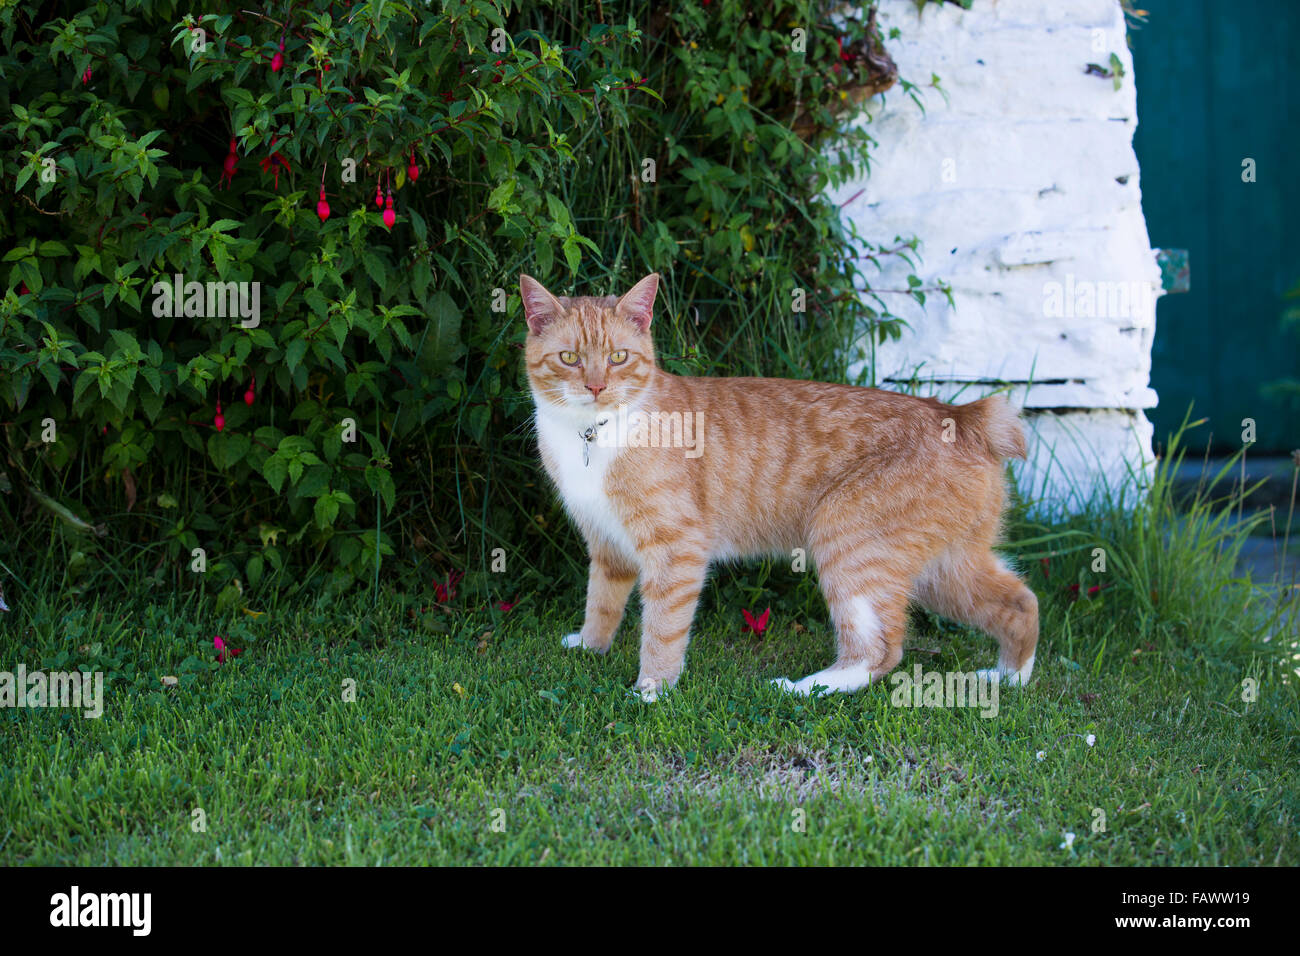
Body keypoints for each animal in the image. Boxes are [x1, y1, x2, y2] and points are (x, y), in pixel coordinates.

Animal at [517, 273, 1034, 697]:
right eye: (569, 358)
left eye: (619, 358)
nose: (596, 387)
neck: (592, 434)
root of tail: (961, 415)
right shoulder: (608, 547)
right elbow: (600, 604)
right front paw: (589, 647)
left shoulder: (677, 549)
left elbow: (662, 629)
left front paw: (652, 690)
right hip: (944, 570)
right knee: (1021, 602)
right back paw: (1009, 676)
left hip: (849, 543)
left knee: (881, 651)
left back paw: (804, 689)